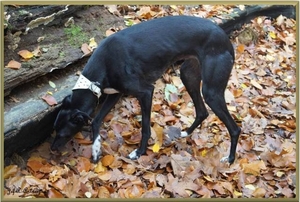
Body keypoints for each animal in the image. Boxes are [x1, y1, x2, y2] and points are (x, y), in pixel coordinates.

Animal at [50, 15, 240, 164]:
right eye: (55, 129)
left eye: (63, 134)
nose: (51, 150)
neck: (103, 65)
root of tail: (224, 37)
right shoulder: (115, 93)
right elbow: (96, 120)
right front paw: (96, 149)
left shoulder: (146, 92)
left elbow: (145, 128)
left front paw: (139, 152)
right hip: (189, 75)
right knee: (202, 111)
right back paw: (186, 132)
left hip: (211, 92)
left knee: (234, 128)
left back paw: (230, 159)